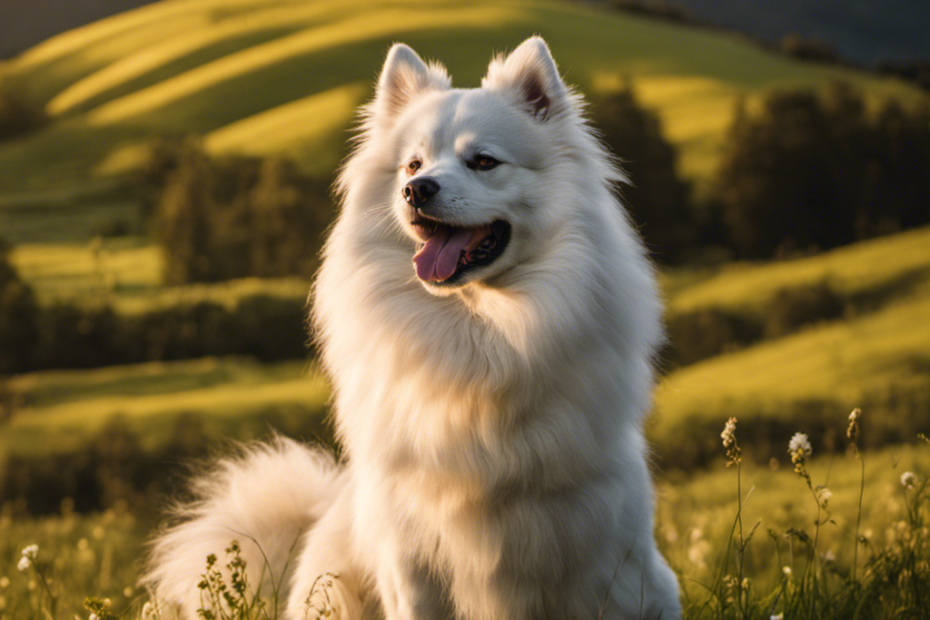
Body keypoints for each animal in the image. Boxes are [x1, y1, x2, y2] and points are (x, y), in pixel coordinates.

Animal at [147, 37, 680, 620]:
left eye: (484, 161)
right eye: (413, 163)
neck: (479, 327)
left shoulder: (592, 551)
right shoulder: (412, 554)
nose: (416, 189)